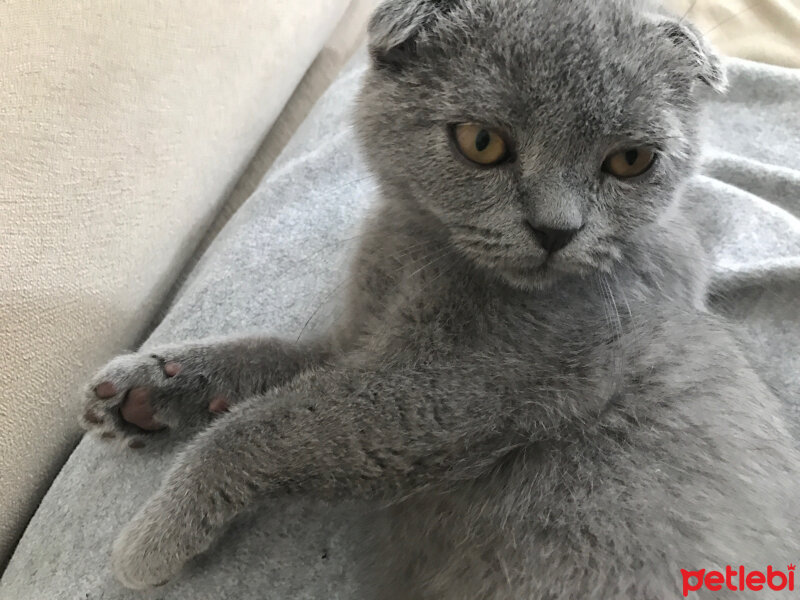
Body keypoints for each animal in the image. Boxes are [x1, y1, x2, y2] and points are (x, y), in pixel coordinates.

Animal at [83, 0, 800, 596]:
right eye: (482, 142)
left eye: (630, 160)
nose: (556, 231)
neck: (417, 250)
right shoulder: (359, 339)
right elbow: (270, 356)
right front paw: (152, 387)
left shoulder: (456, 384)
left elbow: (269, 424)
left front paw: (155, 535)